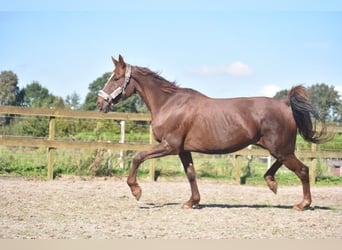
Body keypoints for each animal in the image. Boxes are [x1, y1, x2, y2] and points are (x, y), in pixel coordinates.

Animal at [97, 55, 332, 211]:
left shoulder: (169, 146)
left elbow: (137, 157)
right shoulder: (182, 150)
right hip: (278, 148)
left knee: (302, 170)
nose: (100, 103)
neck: (169, 103)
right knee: (284, 165)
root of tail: (285, 104)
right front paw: (192, 202)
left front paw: (136, 190)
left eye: (116, 78)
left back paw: (302, 204)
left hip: (280, 148)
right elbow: (191, 174)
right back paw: (271, 182)